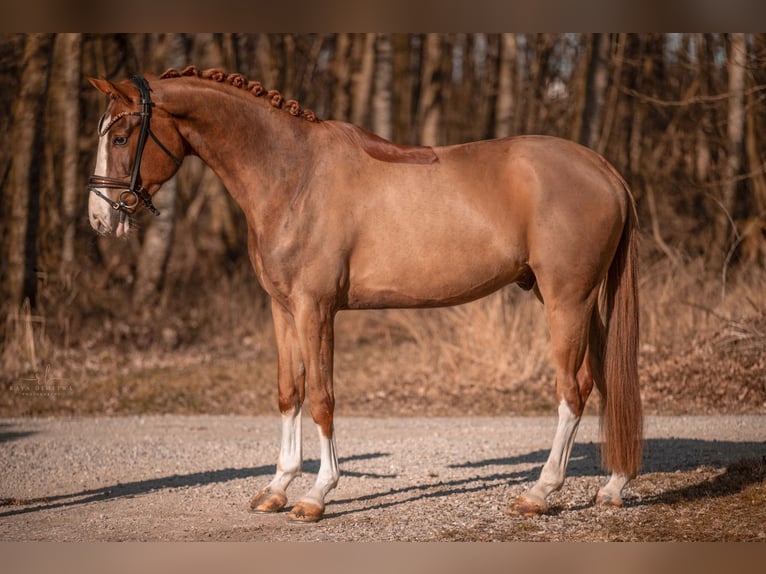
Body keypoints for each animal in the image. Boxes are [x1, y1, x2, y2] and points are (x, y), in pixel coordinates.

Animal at [88, 67, 640, 520]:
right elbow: (289, 392)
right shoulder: (282, 309)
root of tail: (604, 169)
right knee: (605, 379)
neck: (293, 175)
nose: (99, 218)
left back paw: (540, 492)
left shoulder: (315, 309)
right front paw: (277, 488)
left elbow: (321, 397)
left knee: (573, 390)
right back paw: (613, 486)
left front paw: (315, 495)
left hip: (567, 299)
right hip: (575, 301)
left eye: (121, 135)